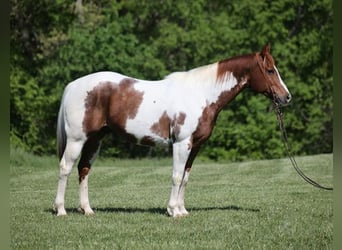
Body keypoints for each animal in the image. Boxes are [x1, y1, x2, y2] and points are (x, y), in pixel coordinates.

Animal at [53, 44, 292, 217]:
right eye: (270, 70)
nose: (287, 97)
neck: (201, 94)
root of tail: (73, 85)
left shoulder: (195, 146)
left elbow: (185, 177)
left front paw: (182, 210)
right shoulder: (181, 143)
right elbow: (177, 176)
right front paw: (172, 211)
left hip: (95, 140)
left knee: (84, 169)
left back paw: (87, 210)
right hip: (76, 139)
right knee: (65, 167)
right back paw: (61, 210)